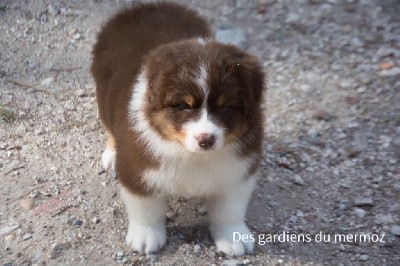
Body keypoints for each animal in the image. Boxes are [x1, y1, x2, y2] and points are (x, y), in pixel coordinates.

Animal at [91, 2, 266, 256]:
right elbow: (146, 209)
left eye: (225, 106)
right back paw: (112, 153)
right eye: (183, 105)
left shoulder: (238, 170)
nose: (206, 140)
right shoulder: (139, 169)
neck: (193, 155)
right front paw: (145, 238)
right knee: (109, 127)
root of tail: (142, 7)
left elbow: (229, 211)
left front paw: (235, 238)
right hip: (103, 95)